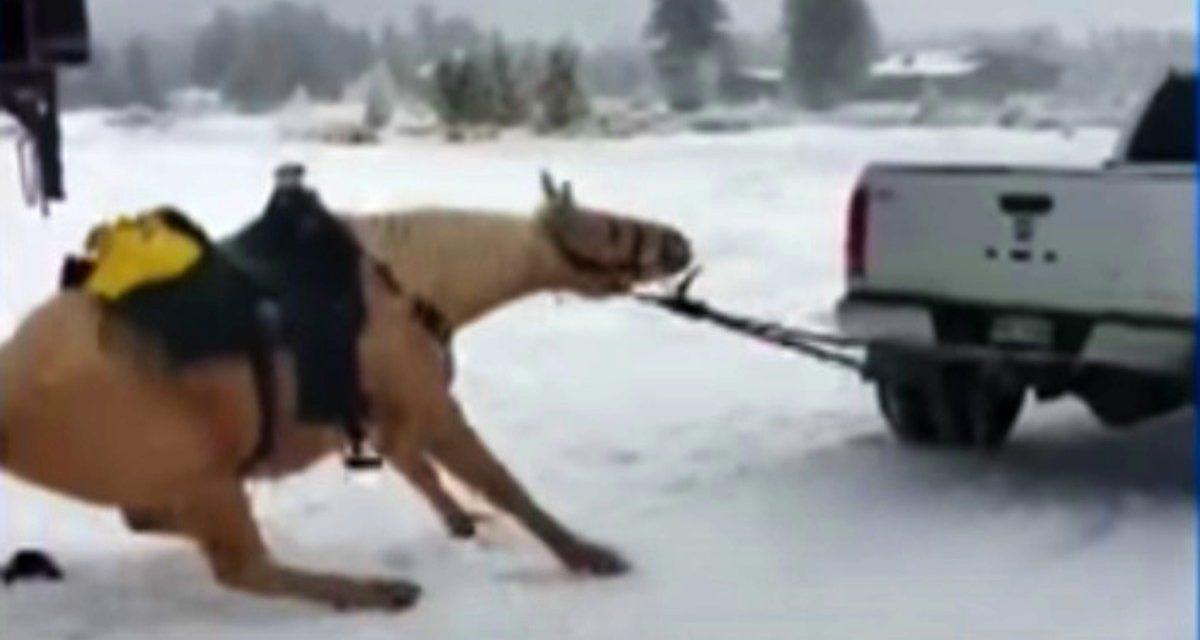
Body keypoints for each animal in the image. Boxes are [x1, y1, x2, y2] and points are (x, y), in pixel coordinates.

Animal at [2, 171, 696, 612]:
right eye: (608, 230)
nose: (678, 242)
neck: (417, 281)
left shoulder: (393, 415)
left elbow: (426, 475)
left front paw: (463, 524)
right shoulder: (428, 404)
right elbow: (501, 483)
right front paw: (587, 555)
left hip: (182, 479)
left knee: (152, 521)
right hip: (205, 476)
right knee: (243, 570)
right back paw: (376, 592)